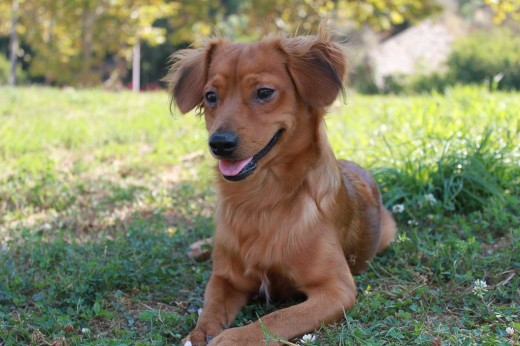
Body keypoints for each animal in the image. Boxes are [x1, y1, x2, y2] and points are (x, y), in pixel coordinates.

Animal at [169, 25, 396, 344]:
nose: (219, 143)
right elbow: (211, 307)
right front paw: (199, 333)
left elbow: (274, 319)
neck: (260, 199)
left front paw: (233, 338)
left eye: (264, 93)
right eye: (211, 96)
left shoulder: (336, 289)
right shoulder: (225, 278)